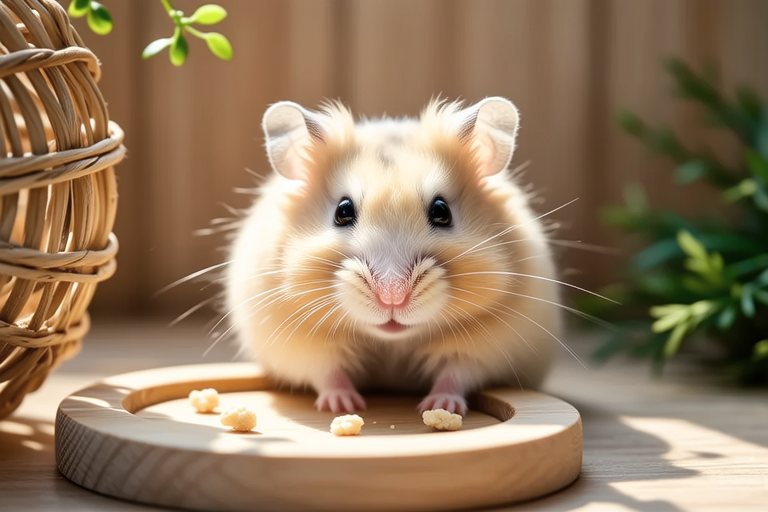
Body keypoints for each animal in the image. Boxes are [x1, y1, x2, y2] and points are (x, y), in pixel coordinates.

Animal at [224, 97, 562, 416]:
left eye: (442, 212)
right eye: (342, 212)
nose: (392, 298)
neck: (392, 342)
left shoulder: (487, 349)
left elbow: (457, 373)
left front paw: (440, 407)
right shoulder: (301, 346)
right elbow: (328, 372)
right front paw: (343, 405)